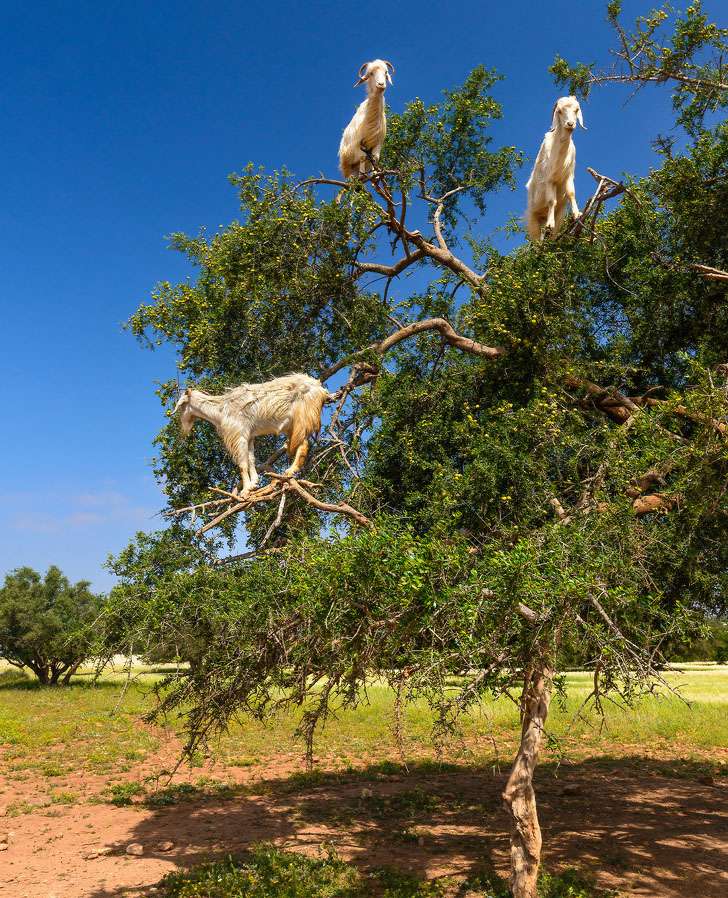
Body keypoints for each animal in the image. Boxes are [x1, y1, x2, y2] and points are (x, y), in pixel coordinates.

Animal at [175, 372, 328, 496]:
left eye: (182, 405)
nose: (182, 428)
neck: (220, 410)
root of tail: (321, 390)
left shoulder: (239, 435)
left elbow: (242, 463)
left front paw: (245, 490)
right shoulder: (249, 436)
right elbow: (251, 459)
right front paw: (254, 483)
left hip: (301, 419)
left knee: (304, 444)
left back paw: (290, 471)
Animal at [524, 96, 584, 240]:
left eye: (576, 109)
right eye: (560, 111)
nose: (570, 124)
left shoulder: (569, 176)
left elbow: (571, 193)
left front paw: (577, 214)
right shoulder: (549, 180)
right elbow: (552, 201)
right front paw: (550, 224)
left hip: (558, 216)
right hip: (532, 220)